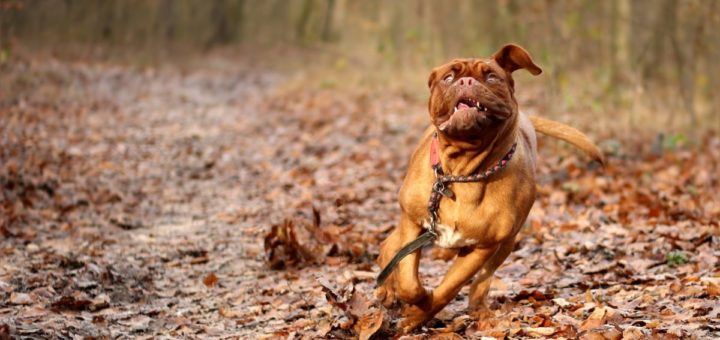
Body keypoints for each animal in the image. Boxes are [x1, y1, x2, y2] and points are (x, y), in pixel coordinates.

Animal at [376, 43, 600, 334]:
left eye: (492, 76)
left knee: (482, 279)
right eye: (449, 77)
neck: (462, 171)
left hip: (506, 243)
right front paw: (415, 298)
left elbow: (448, 288)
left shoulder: (483, 247)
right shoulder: (414, 223)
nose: (466, 81)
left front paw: (419, 312)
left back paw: (478, 309)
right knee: (392, 245)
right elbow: (408, 280)